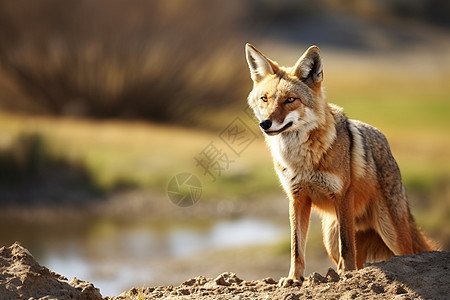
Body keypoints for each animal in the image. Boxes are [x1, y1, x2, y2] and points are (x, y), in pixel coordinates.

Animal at [244, 44, 438, 286]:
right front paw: (294, 278)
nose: (265, 123)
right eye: (264, 99)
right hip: (329, 237)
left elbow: (347, 245)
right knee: (352, 257)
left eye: (290, 100)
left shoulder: (342, 195)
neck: (303, 160)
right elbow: (296, 248)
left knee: (403, 252)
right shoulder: (297, 198)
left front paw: (347, 274)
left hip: (391, 234)